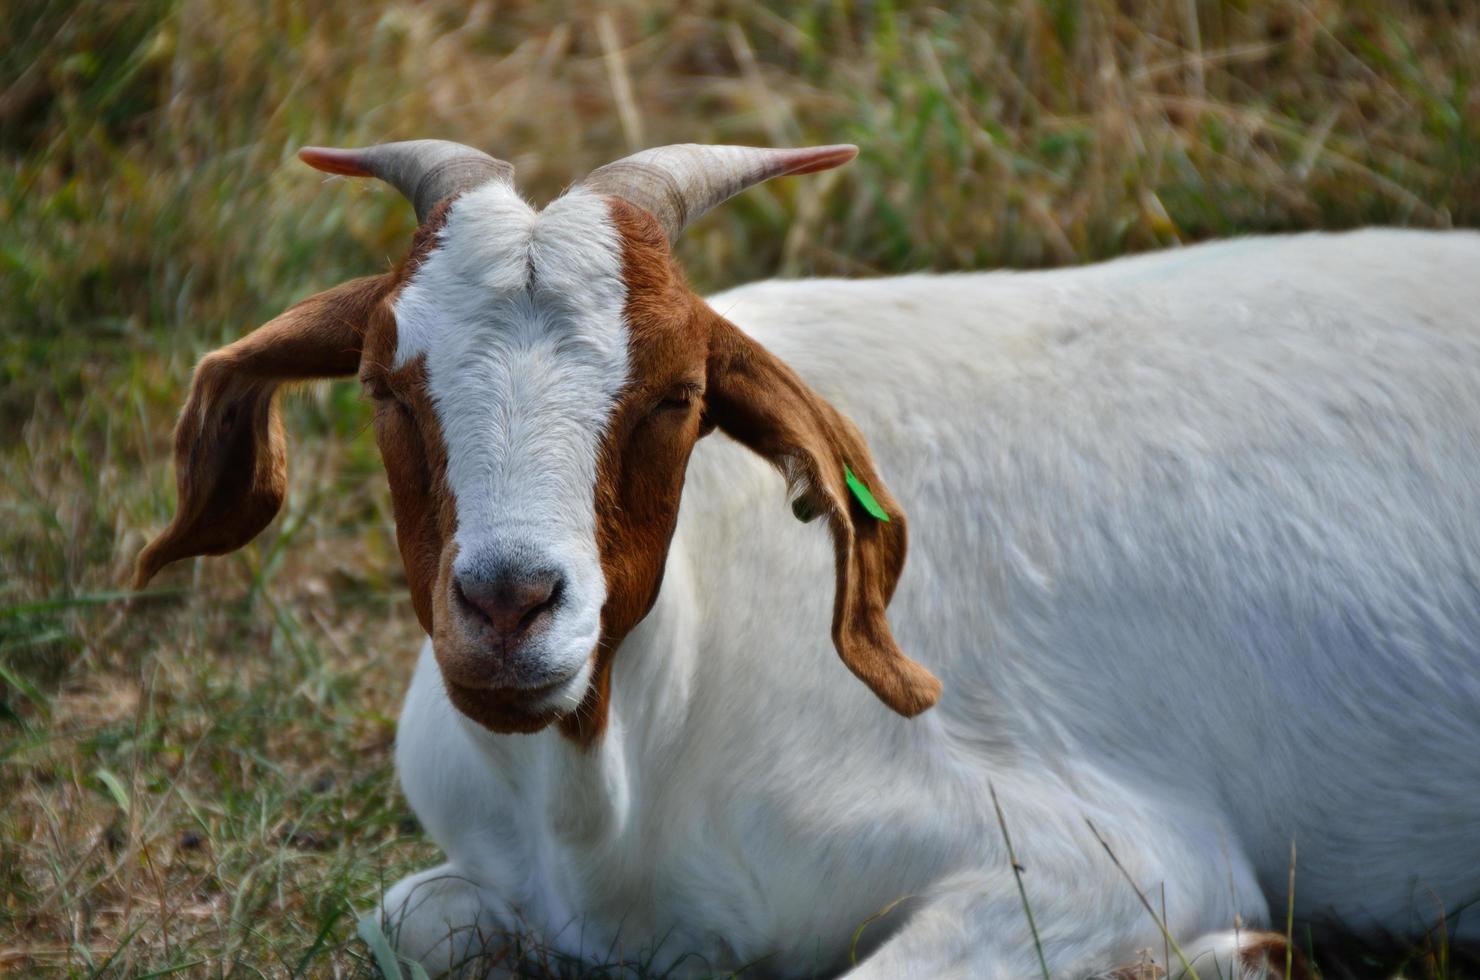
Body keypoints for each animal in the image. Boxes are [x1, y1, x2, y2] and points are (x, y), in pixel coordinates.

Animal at [139, 139, 1480, 980]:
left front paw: (1235, 956)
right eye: (380, 381)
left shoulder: (1105, 856)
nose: (508, 603)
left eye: (679, 394)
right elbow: (400, 917)